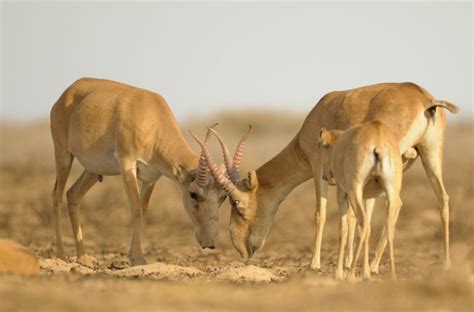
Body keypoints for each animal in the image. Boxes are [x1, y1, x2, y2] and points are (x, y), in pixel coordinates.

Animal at [51, 78, 228, 266]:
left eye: (223, 196)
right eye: (193, 193)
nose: (209, 243)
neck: (151, 113)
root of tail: (68, 92)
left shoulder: (151, 178)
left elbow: (142, 210)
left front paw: (133, 256)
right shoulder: (127, 165)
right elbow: (135, 208)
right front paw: (139, 259)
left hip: (93, 171)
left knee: (72, 195)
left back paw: (83, 257)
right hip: (64, 156)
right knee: (57, 195)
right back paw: (61, 255)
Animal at [199, 82, 460, 272]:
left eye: (236, 203)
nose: (243, 250)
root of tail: (425, 99)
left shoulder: (318, 170)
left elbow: (321, 214)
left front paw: (315, 264)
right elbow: (357, 215)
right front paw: (349, 263)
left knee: (396, 203)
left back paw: (375, 266)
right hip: (428, 156)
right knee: (442, 200)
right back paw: (444, 263)